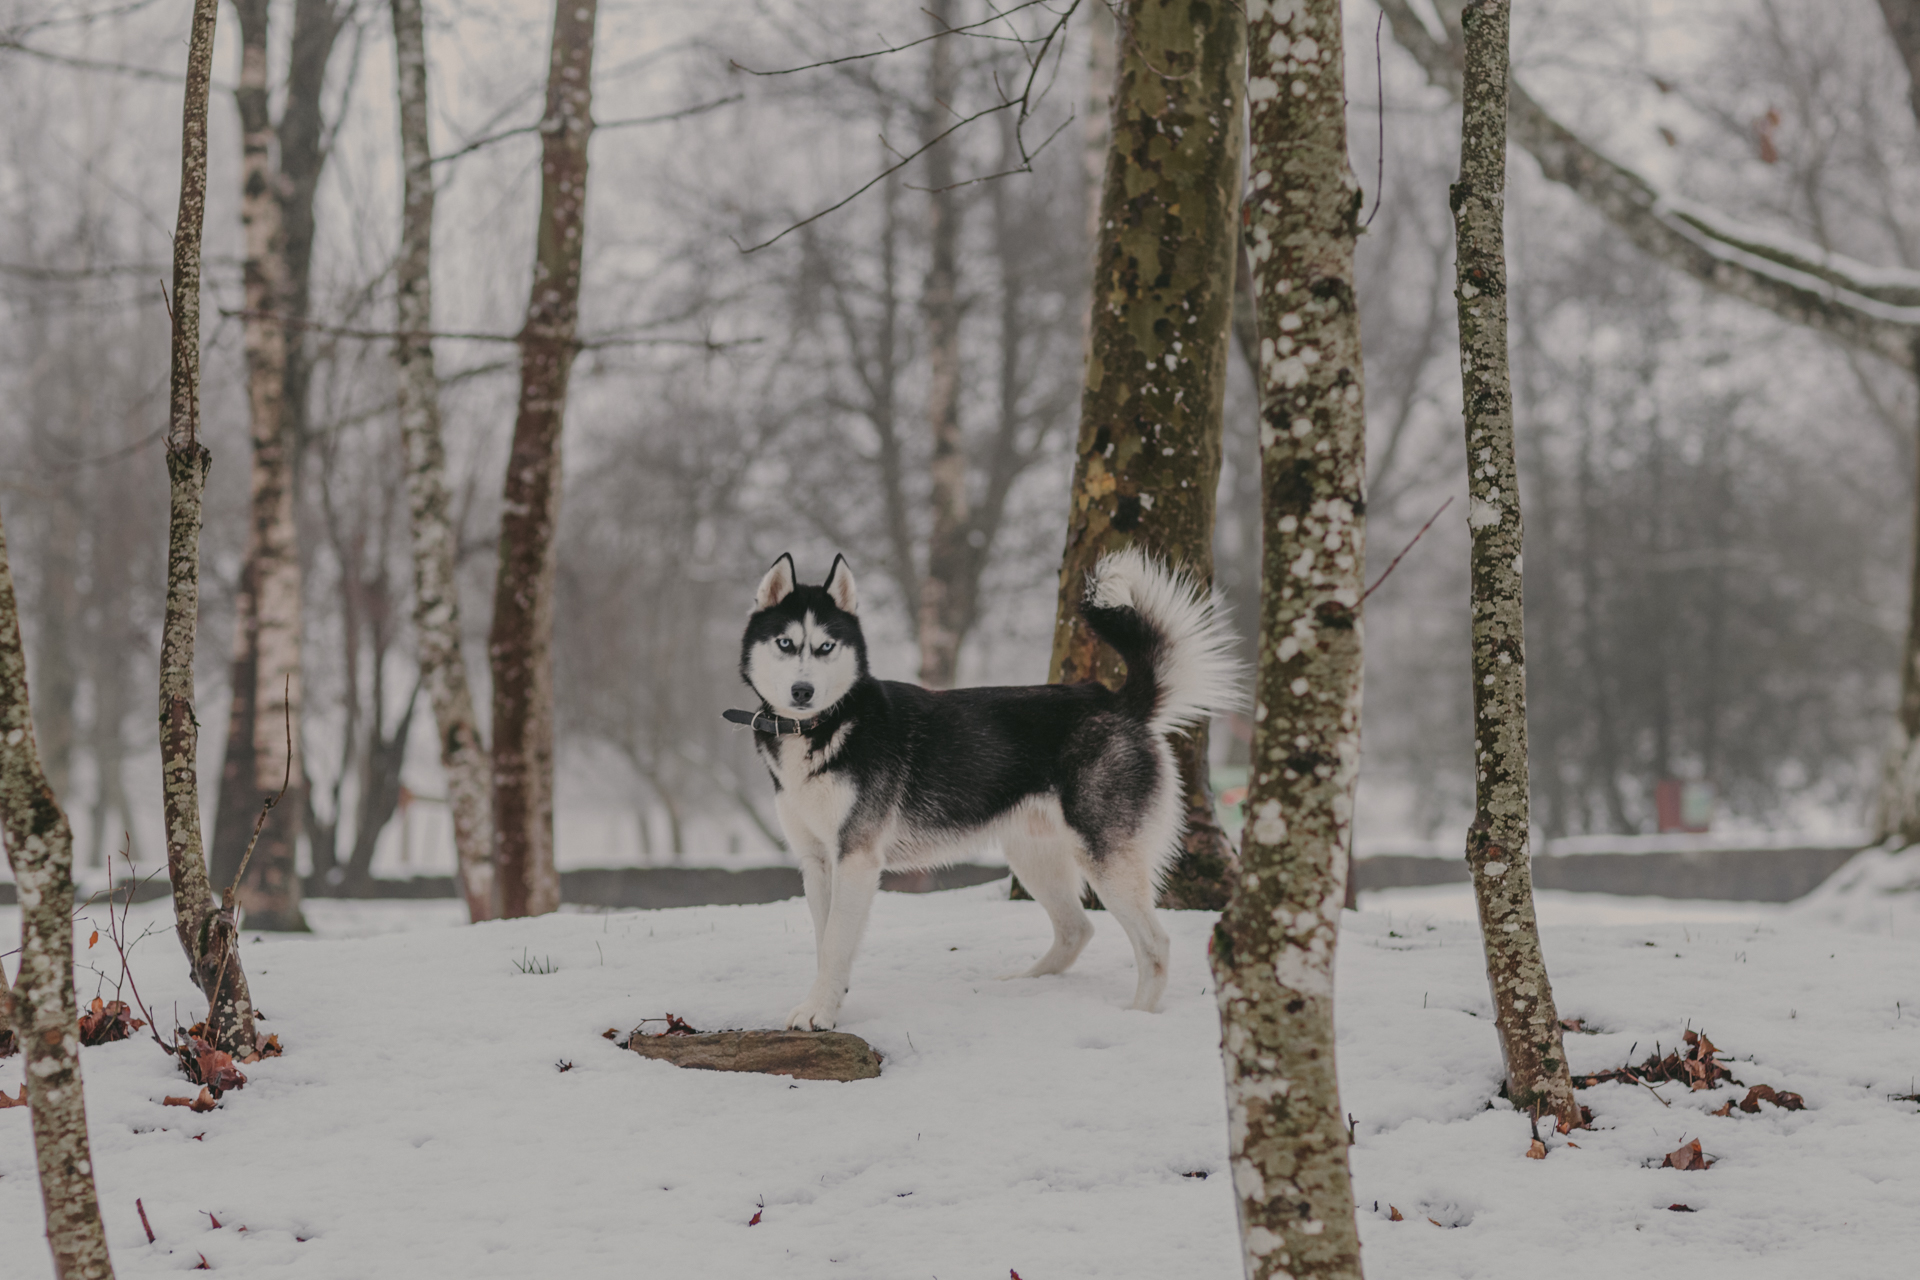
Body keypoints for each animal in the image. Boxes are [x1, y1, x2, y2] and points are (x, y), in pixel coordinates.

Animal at [725, 552, 1236, 1028]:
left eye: (826, 646)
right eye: (786, 643)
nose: (803, 691)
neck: (824, 727)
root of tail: (1118, 703)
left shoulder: (855, 858)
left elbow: (834, 944)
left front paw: (819, 1014)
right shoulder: (817, 862)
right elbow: (825, 941)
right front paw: (826, 1002)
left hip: (1104, 859)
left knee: (1155, 943)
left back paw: (1138, 1015)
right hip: (1032, 855)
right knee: (1077, 929)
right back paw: (1024, 985)